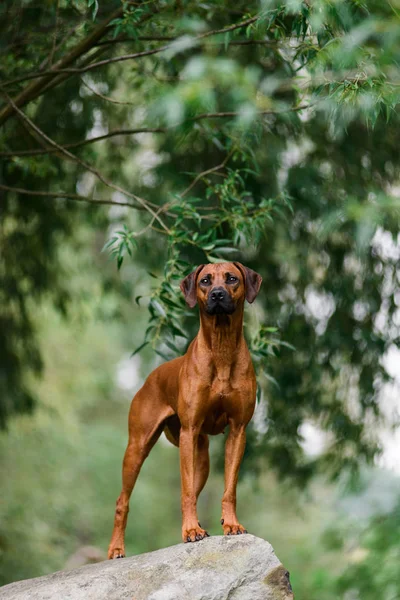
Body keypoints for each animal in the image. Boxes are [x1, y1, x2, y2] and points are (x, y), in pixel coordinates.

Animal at [108, 260, 262, 560]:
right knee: (123, 501)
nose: (217, 295)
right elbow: (186, 492)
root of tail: (151, 377)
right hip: (138, 447)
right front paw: (190, 531)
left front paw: (231, 524)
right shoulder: (189, 430)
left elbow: (229, 488)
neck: (222, 348)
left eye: (231, 278)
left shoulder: (238, 431)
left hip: (201, 456)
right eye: (205, 280)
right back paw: (116, 548)